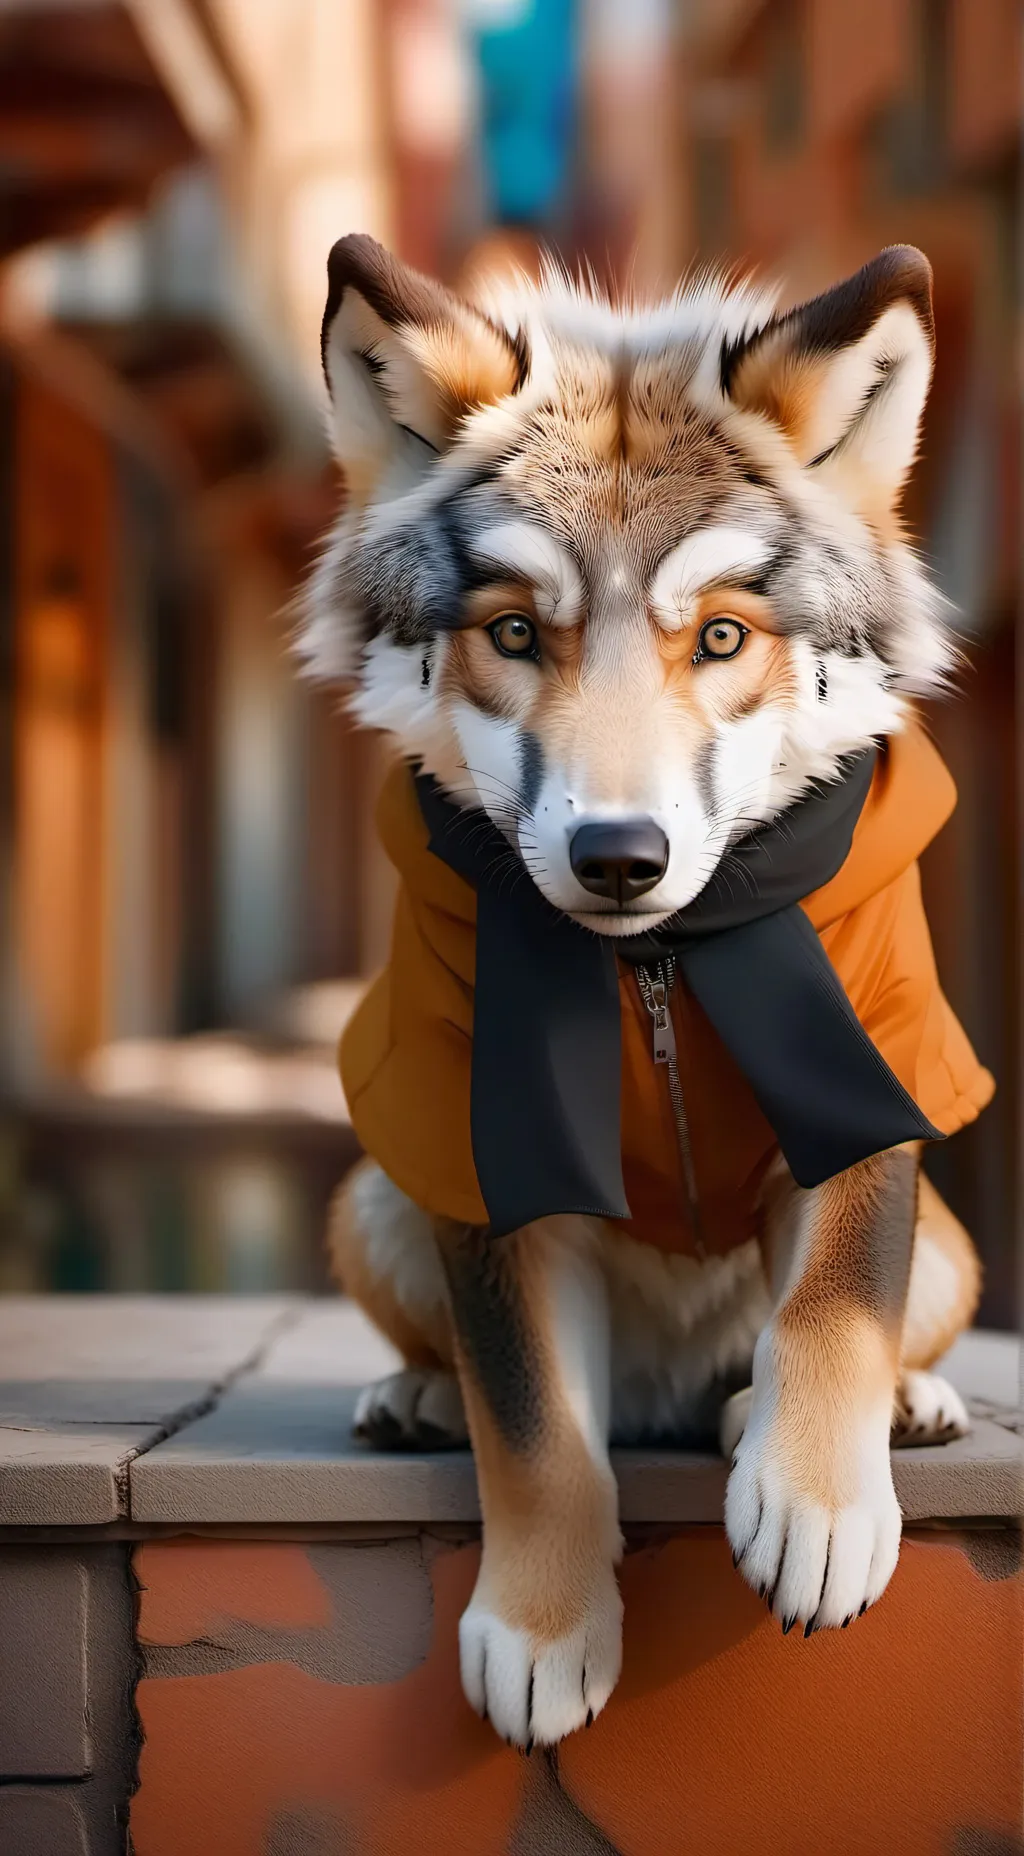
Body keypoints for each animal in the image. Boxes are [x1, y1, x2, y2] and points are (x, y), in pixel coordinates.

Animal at [297, 236, 991, 1747]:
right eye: (513, 632)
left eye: (721, 638)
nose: (620, 857)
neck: (654, 968)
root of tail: (668, 1394)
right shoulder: (477, 1146)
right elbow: (534, 1421)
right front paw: (542, 1627)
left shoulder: (868, 1067)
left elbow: (834, 1301)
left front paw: (822, 1504)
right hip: (373, 1201)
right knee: (474, 1368)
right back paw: (415, 1391)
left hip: (956, 1254)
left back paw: (898, 1405)